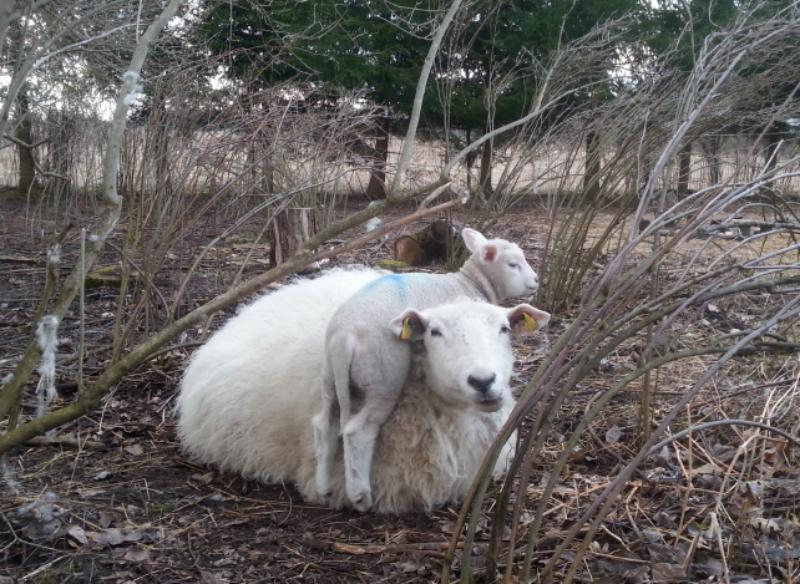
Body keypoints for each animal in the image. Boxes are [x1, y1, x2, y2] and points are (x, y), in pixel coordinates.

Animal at [177, 266, 548, 512]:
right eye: (435, 333)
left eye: (504, 329)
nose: (483, 381)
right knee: (352, 430)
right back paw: (353, 493)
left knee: (325, 422)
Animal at [312, 226, 544, 508]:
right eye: (513, 264)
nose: (535, 281)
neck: (469, 282)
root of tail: (344, 337)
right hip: (383, 378)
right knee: (359, 430)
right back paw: (360, 496)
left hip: (330, 377)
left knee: (324, 422)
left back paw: (322, 487)